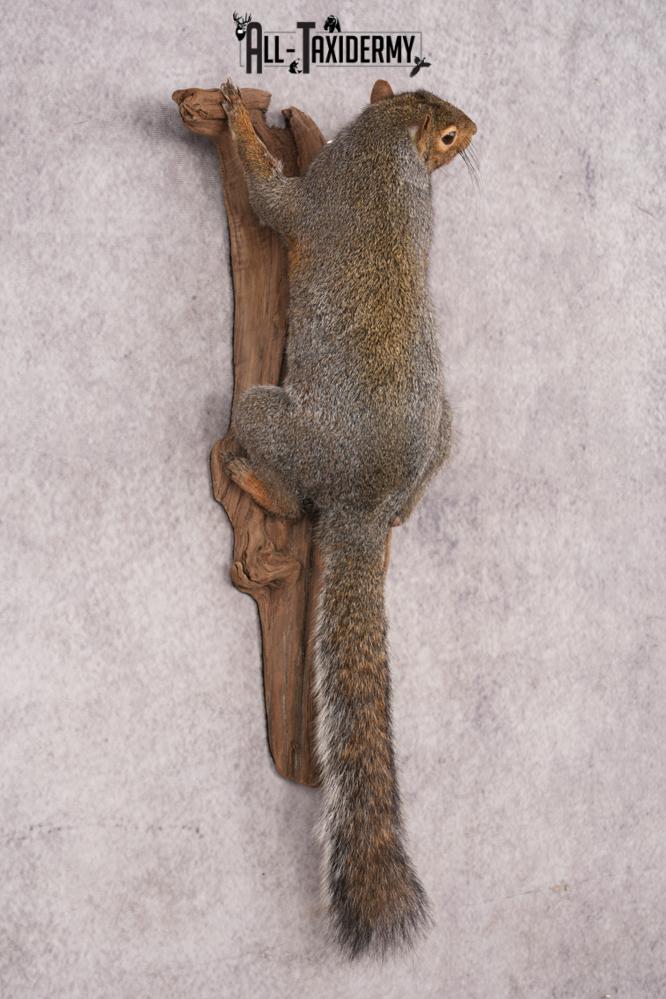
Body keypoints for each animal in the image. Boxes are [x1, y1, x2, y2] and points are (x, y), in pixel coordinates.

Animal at [219, 77, 477, 958]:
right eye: (448, 129)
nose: (475, 134)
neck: (390, 145)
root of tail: (366, 501)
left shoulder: (320, 198)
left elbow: (272, 202)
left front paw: (237, 124)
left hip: (270, 418)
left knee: (287, 484)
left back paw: (252, 480)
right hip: (443, 436)